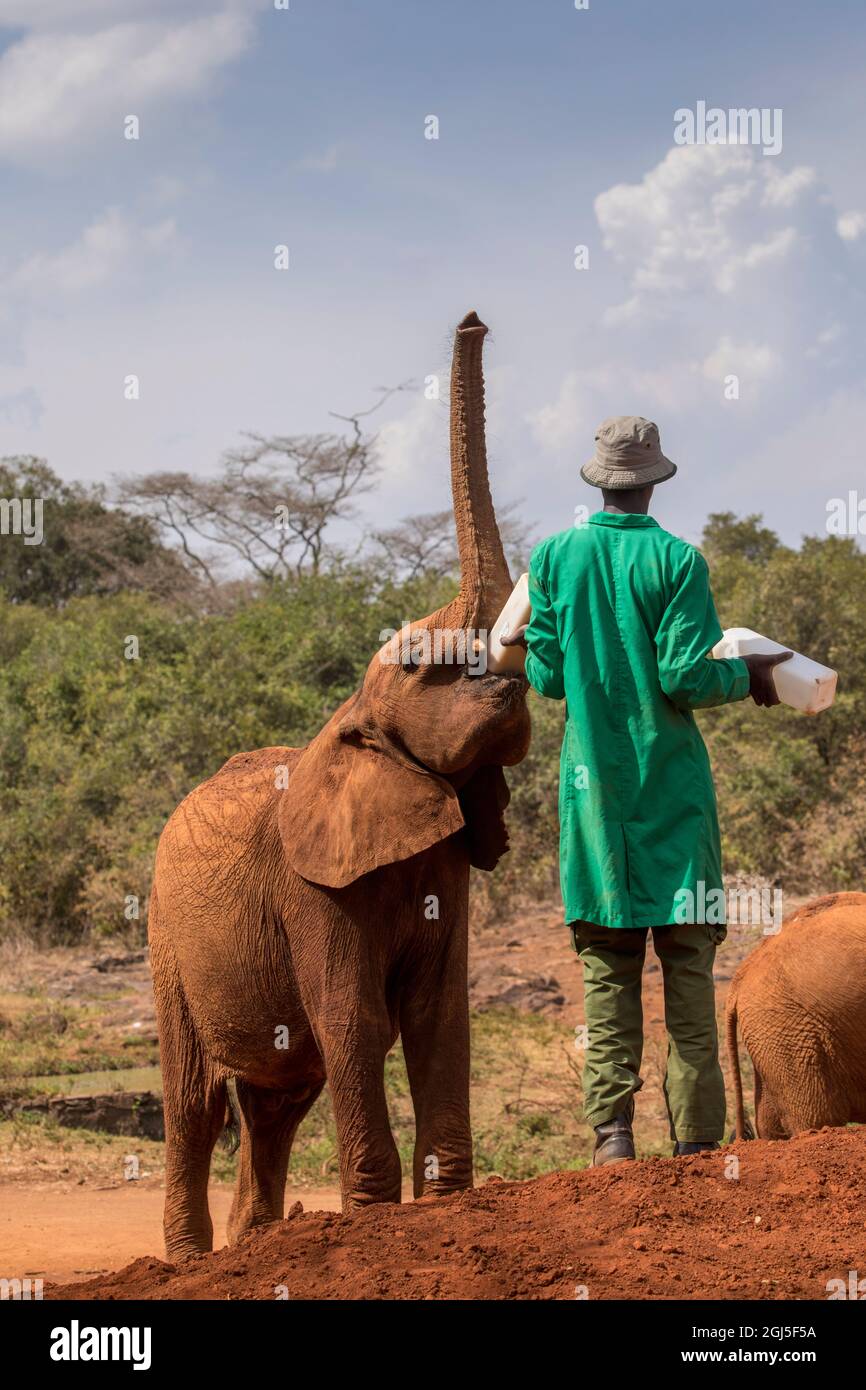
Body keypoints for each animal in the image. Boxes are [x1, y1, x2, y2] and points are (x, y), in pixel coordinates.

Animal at [148, 310, 531, 1259]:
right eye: (423, 669)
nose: (474, 319)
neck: (352, 721)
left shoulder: (444, 865)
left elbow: (438, 1014)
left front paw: (443, 1205)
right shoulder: (310, 890)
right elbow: (354, 1016)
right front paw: (375, 1218)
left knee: (278, 1100)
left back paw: (256, 1244)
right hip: (166, 938)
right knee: (194, 1102)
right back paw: (192, 1261)